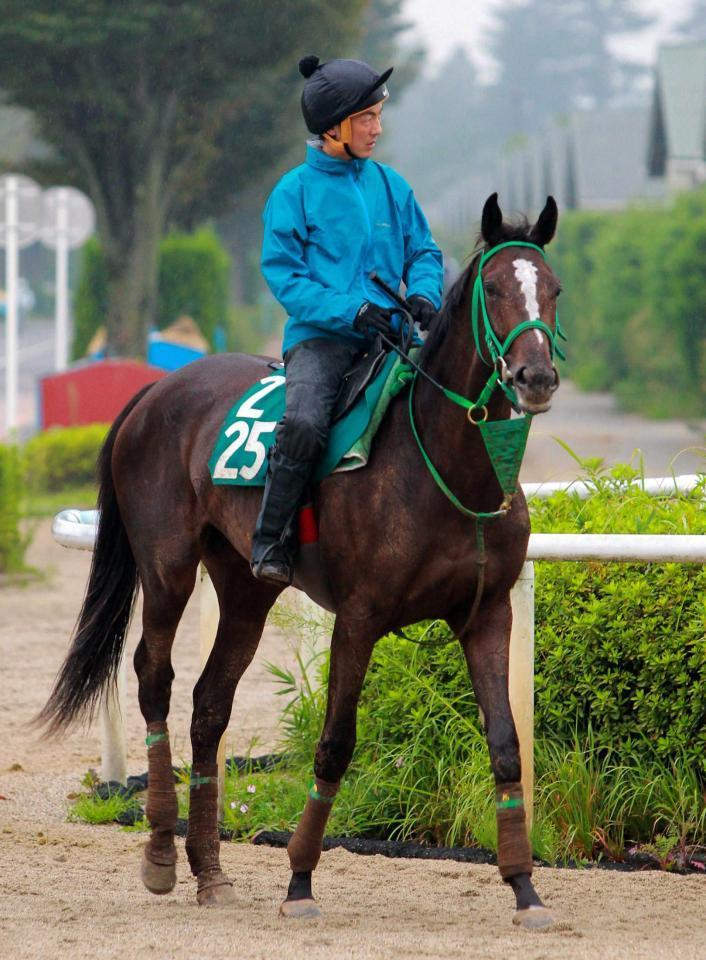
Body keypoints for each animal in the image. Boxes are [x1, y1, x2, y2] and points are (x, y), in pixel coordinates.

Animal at [40, 193, 562, 929]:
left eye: (554, 289)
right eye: (493, 289)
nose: (535, 377)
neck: (444, 466)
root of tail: (155, 391)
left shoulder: (487, 613)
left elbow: (507, 744)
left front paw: (524, 888)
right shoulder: (360, 617)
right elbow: (336, 743)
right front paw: (300, 880)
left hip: (246, 587)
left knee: (210, 703)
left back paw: (211, 872)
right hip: (167, 568)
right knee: (154, 677)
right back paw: (162, 853)